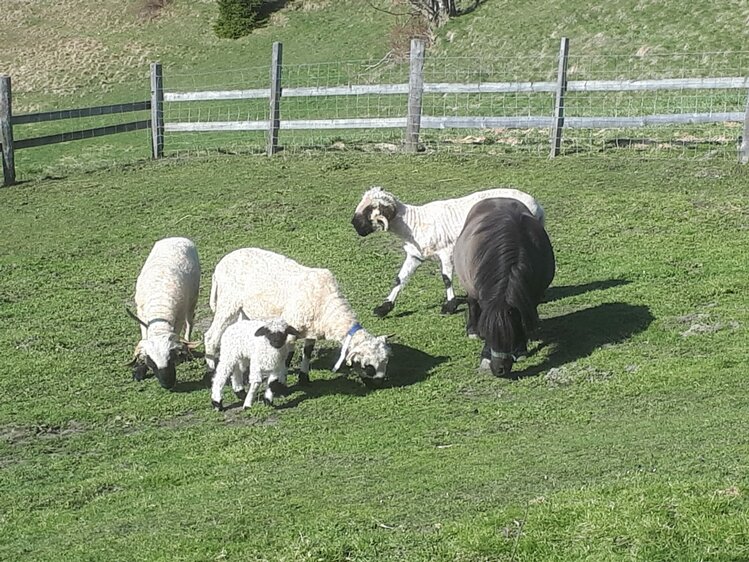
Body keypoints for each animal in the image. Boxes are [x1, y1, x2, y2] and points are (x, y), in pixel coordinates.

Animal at [127, 234, 200, 388]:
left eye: (171, 357)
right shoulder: (141, 317)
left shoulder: (178, 318)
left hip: (193, 298)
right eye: (151, 362)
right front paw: (139, 370)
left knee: (190, 322)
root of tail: (177, 237)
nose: (168, 384)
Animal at [205, 247, 392, 382]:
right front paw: (280, 382)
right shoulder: (289, 328)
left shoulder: (311, 330)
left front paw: (304, 377)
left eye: (386, 362)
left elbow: (307, 352)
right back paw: (212, 365)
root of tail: (219, 266)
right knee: (211, 335)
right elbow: (287, 357)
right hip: (228, 301)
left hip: (244, 309)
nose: (380, 383)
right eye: (369, 366)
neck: (328, 307)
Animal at [348, 184, 548, 316]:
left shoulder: (446, 251)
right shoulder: (415, 255)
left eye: (369, 209)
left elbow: (446, 279)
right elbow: (400, 279)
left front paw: (450, 306)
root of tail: (538, 206)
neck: (413, 223)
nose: (354, 225)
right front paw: (384, 307)